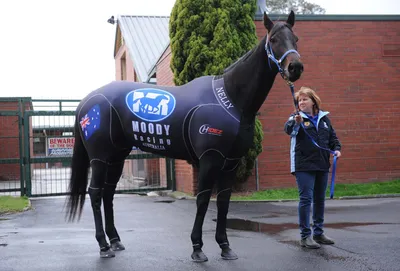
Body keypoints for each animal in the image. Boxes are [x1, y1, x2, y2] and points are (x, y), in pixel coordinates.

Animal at [65, 11, 304, 262]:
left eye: (295, 38)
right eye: (274, 39)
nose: (295, 67)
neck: (230, 98)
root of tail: (87, 101)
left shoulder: (231, 163)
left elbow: (223, 202)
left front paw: (225, 246)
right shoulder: (210, 159)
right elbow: (203, 200)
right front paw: (197, 248)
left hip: (117, 157)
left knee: (108, 193)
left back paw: (115, 240)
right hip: (99, 158)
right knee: (95, 193)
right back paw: (103, 245)